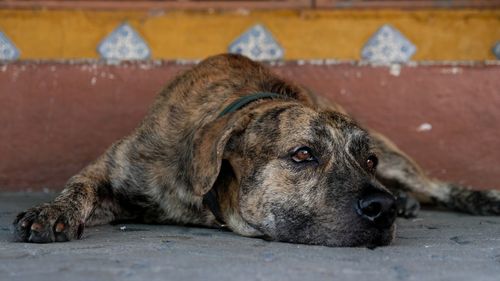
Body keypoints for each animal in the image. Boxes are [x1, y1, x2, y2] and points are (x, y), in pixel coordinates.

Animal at [11, 53, 500, 246]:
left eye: (368, 160)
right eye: (303, 154)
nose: (383, 207)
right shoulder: (114, 170)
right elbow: (79, 186)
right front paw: (52, 211)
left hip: (398, 158)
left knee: (436, 184)